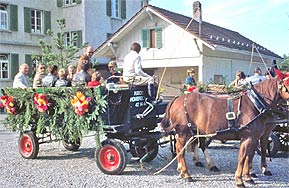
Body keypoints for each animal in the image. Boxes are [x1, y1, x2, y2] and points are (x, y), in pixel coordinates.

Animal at [160, 74, 288, 187]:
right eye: (287, 84)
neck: (255, 103)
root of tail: (177, 98)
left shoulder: (256, 137)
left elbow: (250, 156)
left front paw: (248, 176)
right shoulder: (248, 137)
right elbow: (242, 157)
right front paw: (239, 180)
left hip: (193, 131)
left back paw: (185, 170)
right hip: (184, 131)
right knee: (181, 148)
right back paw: (187, 174)